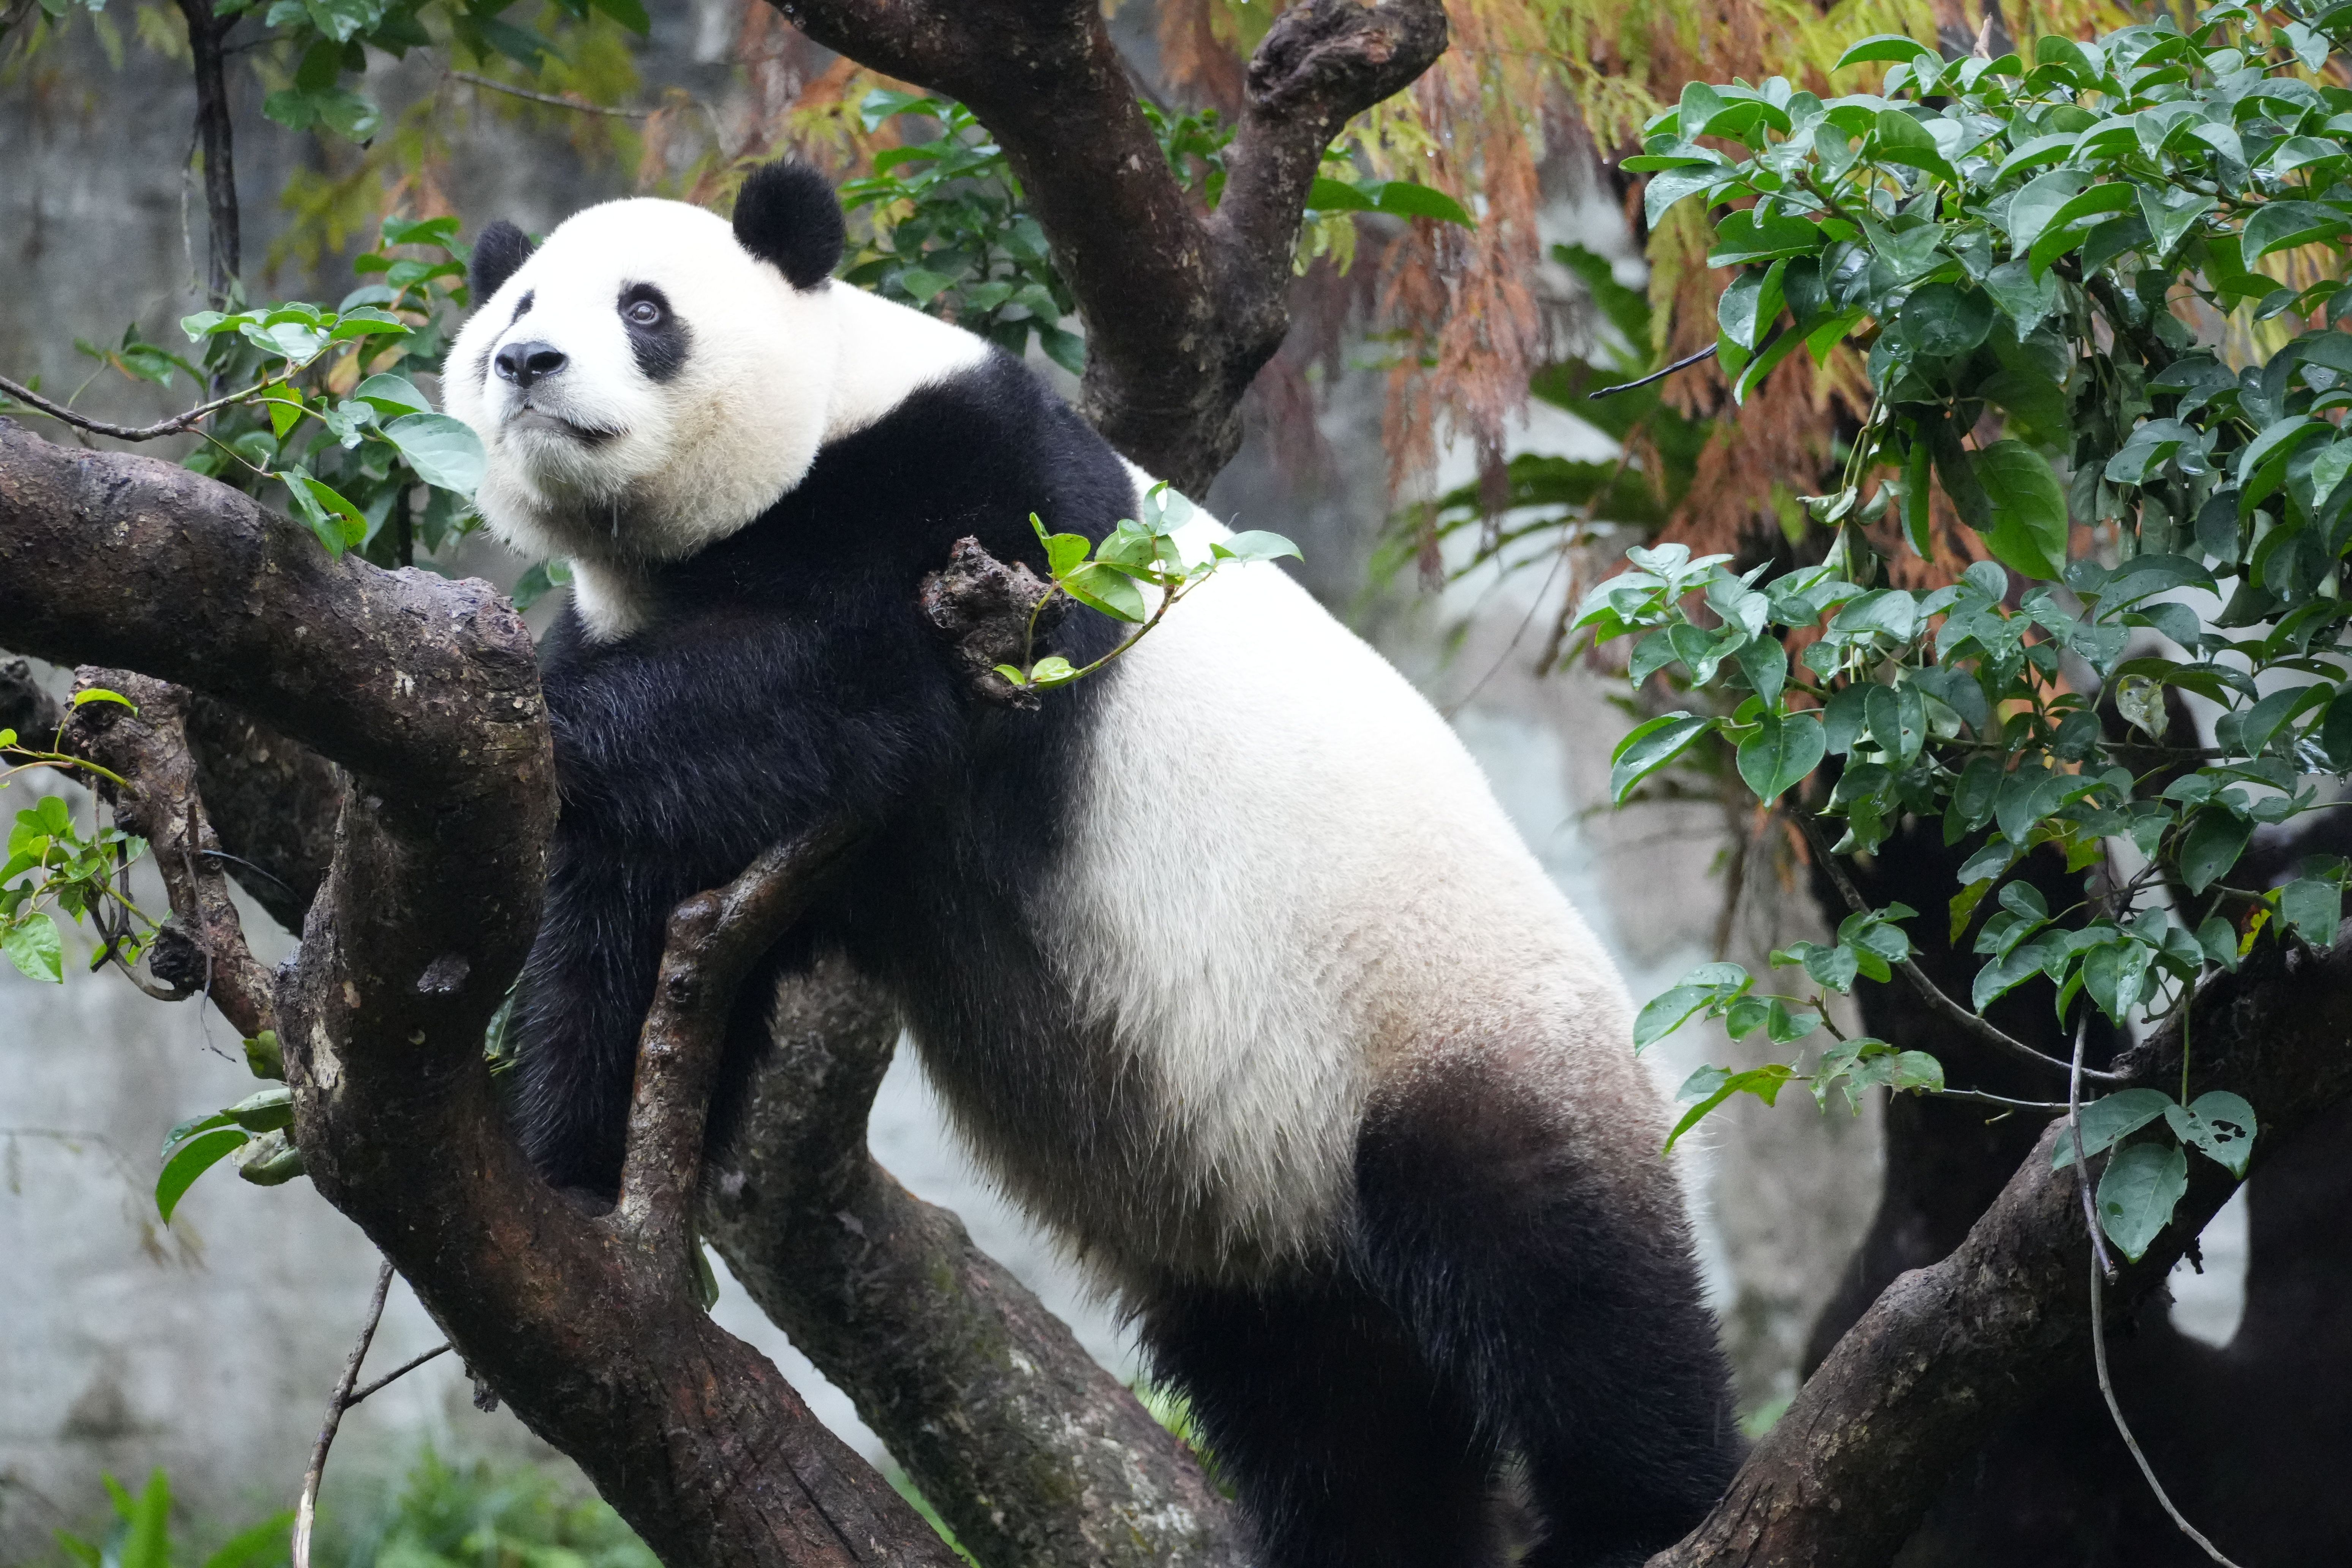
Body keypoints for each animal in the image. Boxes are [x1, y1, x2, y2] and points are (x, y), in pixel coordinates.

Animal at [445, 159, 1739, 1568]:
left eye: (645, 310)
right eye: (518, 302)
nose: (526, 362)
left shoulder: (984, 522)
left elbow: (843, 675)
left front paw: (501, 697)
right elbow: (648, 924)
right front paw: (582, 1186)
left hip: (1448, 1024)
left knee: (1559, 1273)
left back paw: (1635, 1514)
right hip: (1260, 1210)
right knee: (1332, 1395)